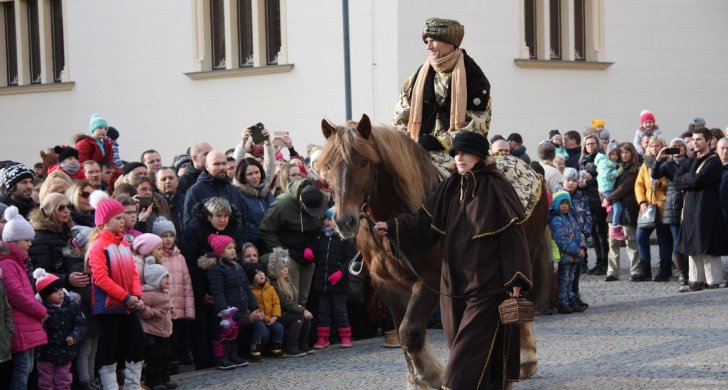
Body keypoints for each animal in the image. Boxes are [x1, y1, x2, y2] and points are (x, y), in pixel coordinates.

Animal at [320, 114, 552, 388]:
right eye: (329, 166)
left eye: (364, 162)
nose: (344, 222)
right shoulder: (386, 284)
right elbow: (402, 332)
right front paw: (416, 380)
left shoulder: (430, 280)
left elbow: (410, 331)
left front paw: (433, 375)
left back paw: (523, 361)